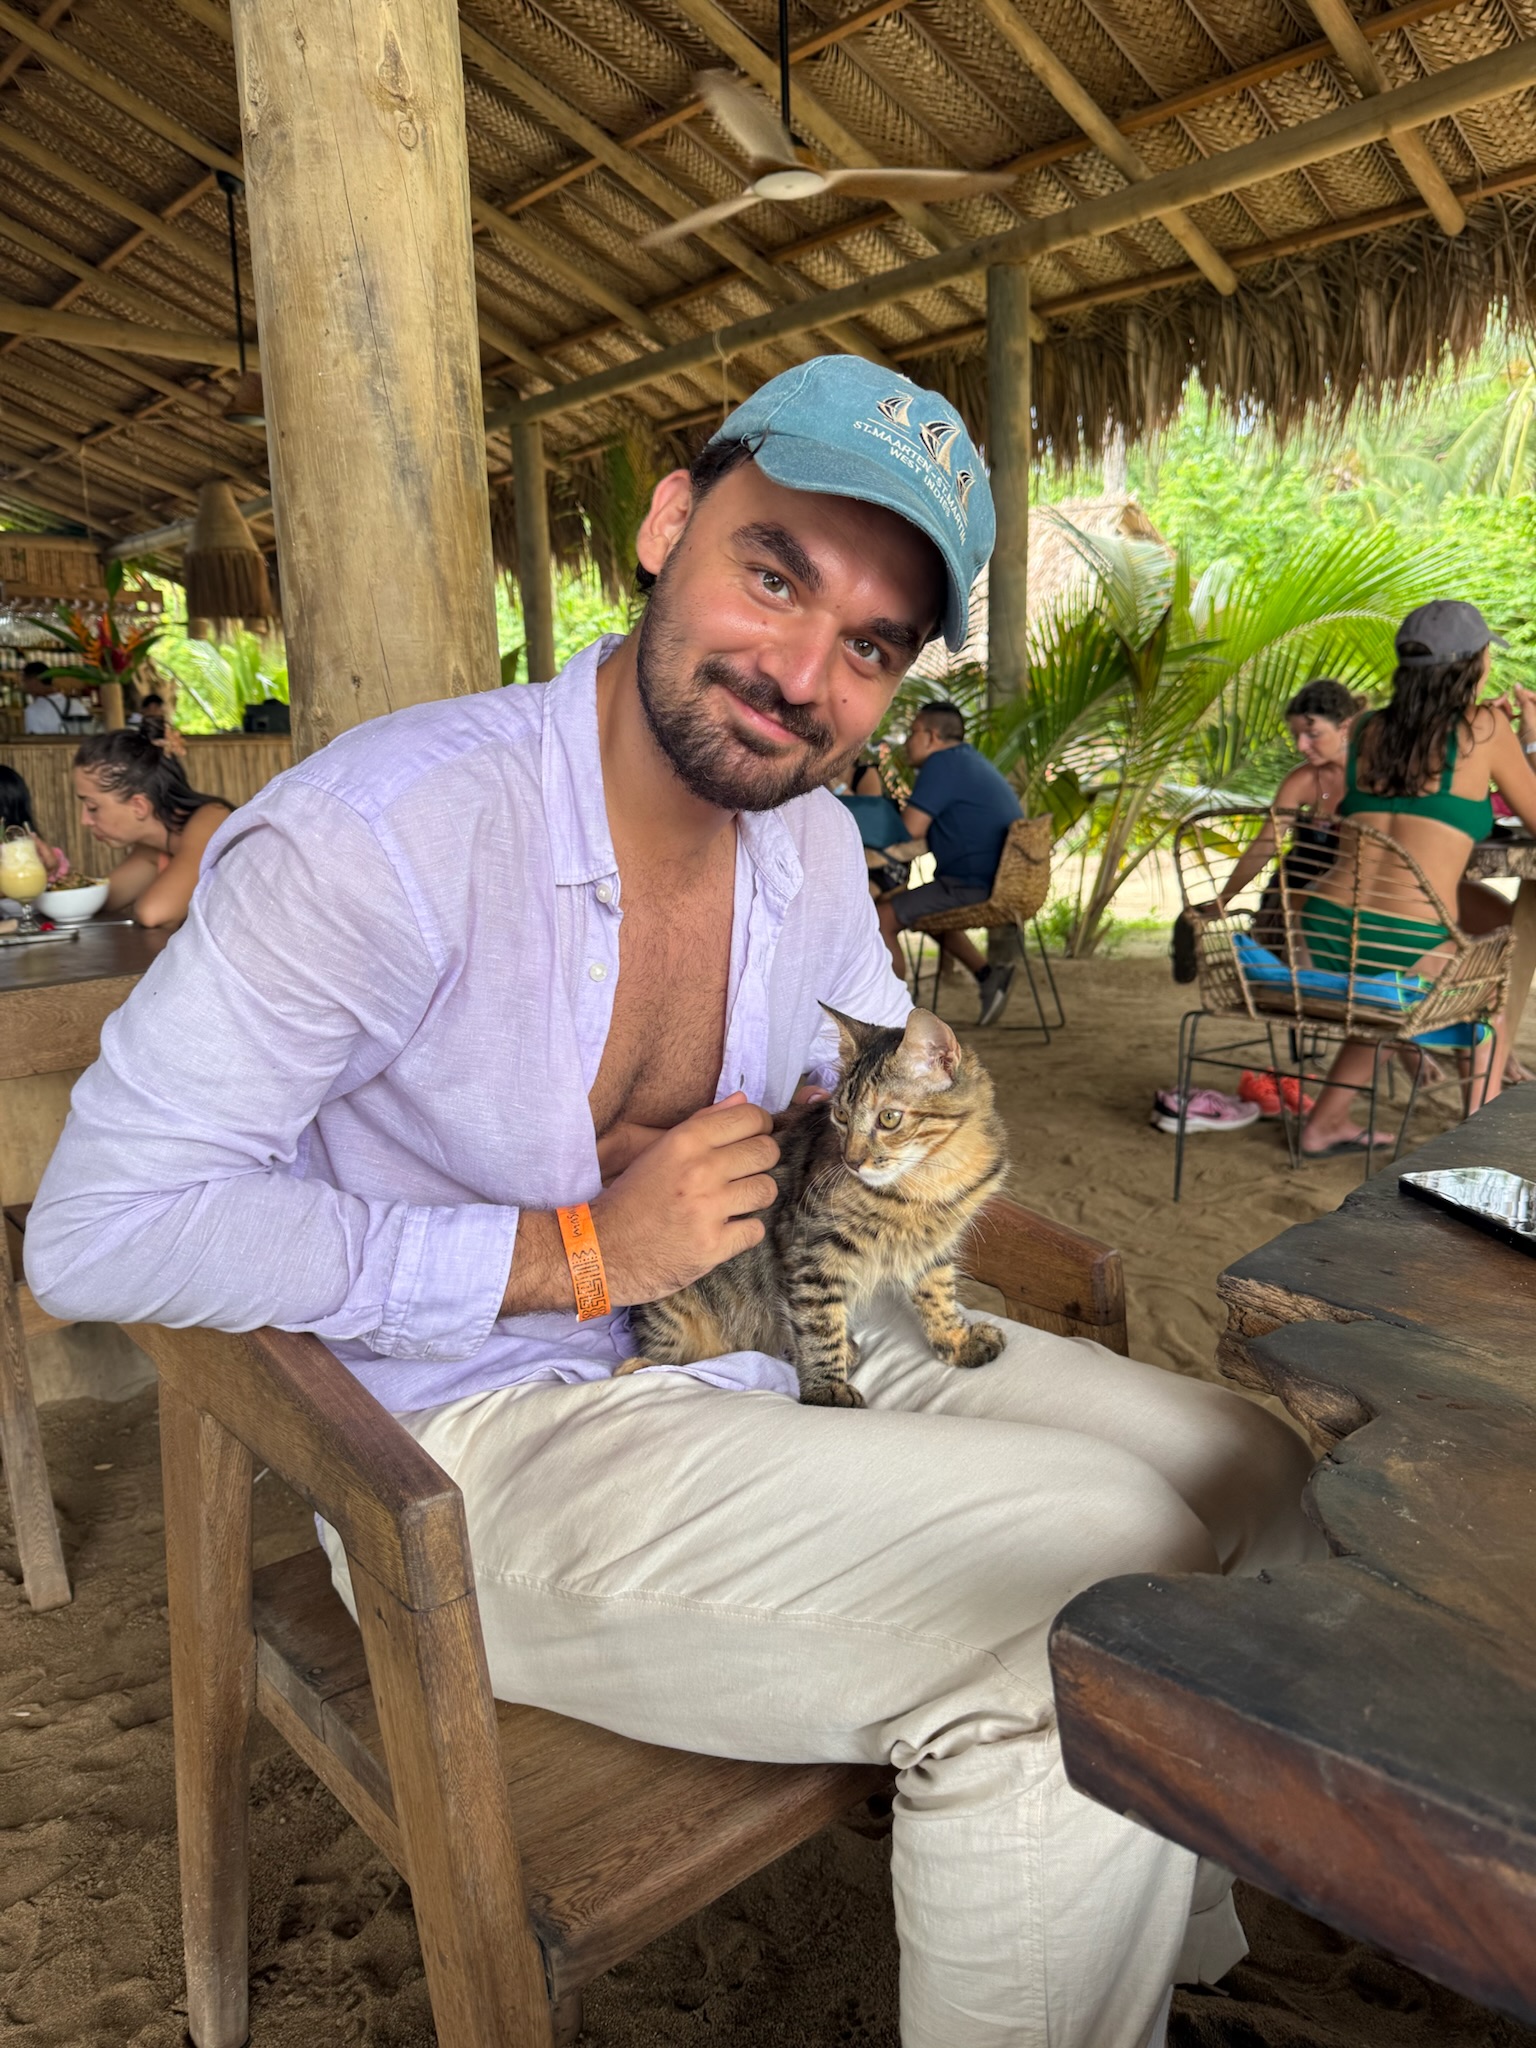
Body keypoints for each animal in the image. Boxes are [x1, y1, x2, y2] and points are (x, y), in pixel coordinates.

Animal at [618, 1004, 1010, 1407]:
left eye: (889, 1118)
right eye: (841, 1116)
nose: (852, 1161)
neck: (927, 1186)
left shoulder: (933, 1249)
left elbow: (939, 1297)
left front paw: (956, 1341)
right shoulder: (811, 1249)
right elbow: (818, 1324)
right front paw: (827, 1389)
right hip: (674, 1310)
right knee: (657, 1359)